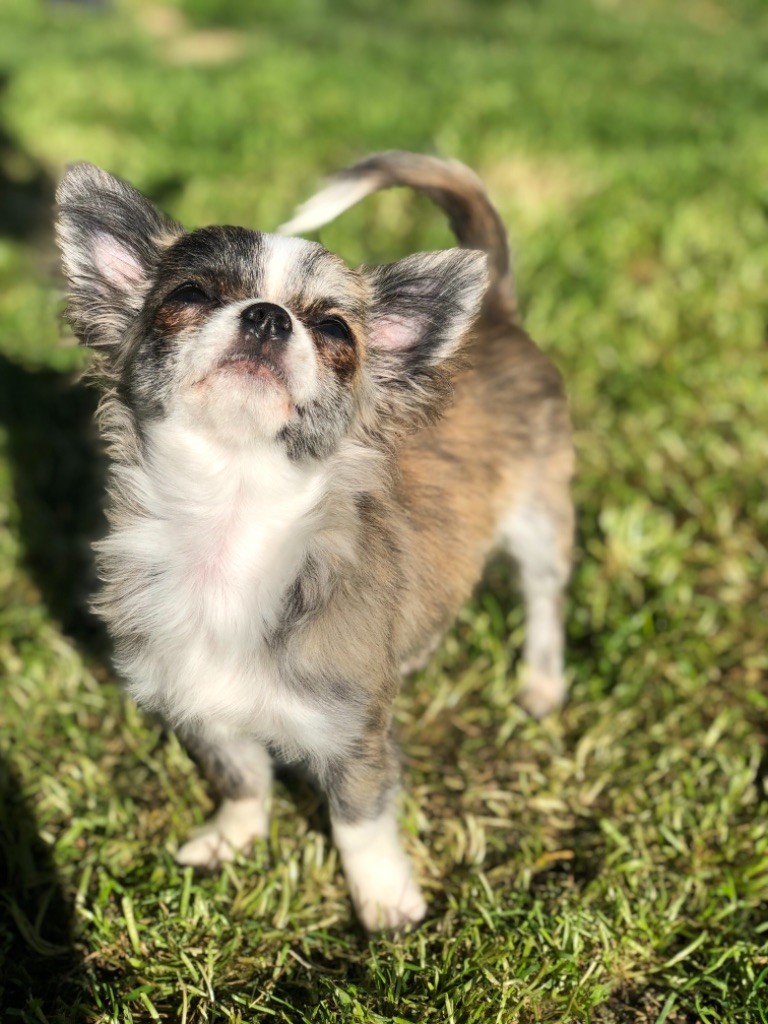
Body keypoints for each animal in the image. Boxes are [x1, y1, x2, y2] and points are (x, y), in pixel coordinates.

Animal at [57, 149, 573, 929]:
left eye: (334, 332)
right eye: (191, 294)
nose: (267, 317)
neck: (231, 524)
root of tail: (499, 317)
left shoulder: (355, 734)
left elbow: (357, 821)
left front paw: (385, 905)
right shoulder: (202, 708)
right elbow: (242, 778)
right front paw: (232, 839)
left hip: (541, 519)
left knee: (544, 599)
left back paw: (542, 682)